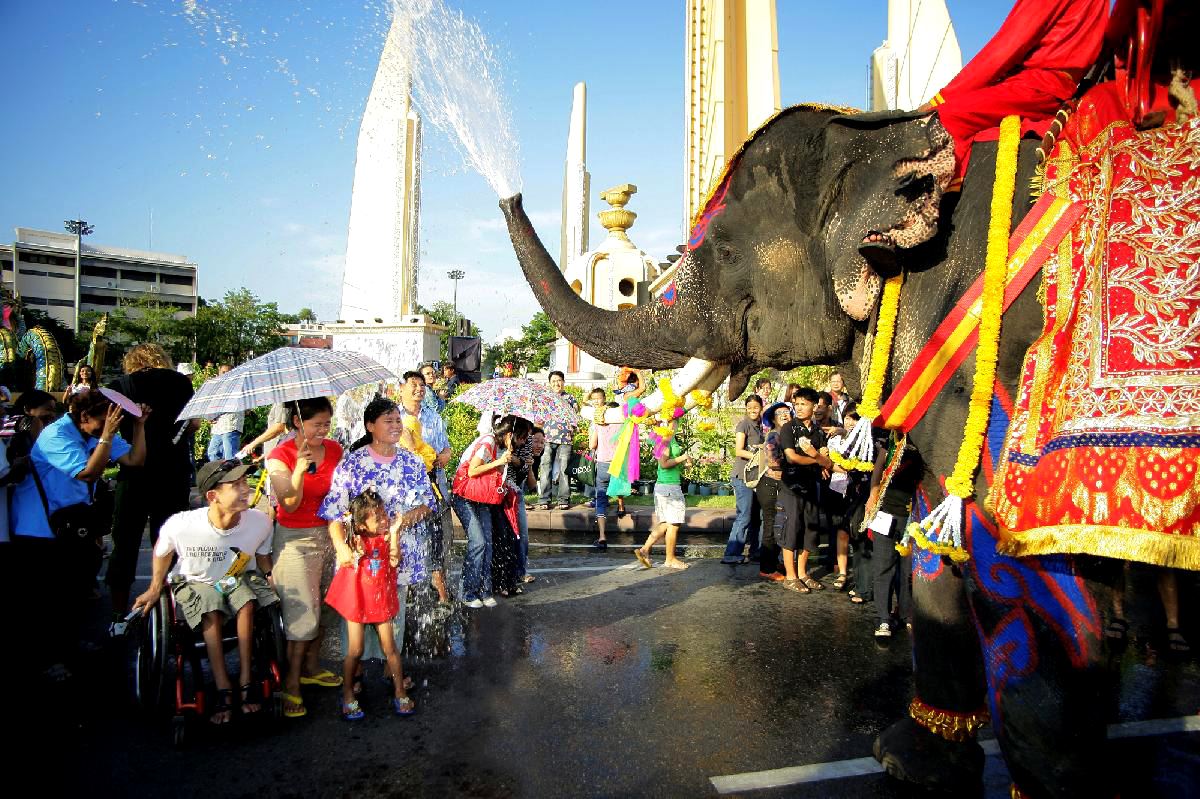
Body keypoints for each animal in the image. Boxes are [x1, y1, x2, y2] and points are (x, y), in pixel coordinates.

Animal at [499, 101, 1171, 796]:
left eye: (726, 249)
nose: (511, 193)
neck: (885, 132)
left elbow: (1017, 567)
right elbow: (936, 546)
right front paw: (909, 763)